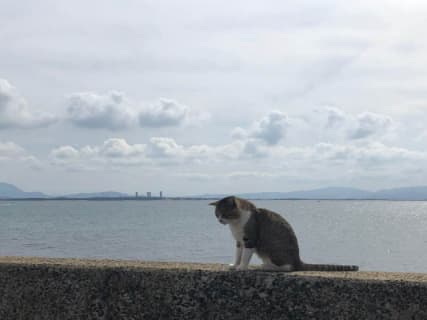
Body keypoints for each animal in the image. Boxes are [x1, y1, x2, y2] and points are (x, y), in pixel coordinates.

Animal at [212, 196, 360, 272]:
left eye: (224, 213)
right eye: (217, 214)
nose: (220, 220)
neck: (236, 224)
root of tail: (297, 259)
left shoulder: (250, 239)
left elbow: (245, 256)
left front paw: (242, 267)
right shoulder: (239, 241)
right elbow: (238, 254)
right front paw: (235, 265)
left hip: (273, 248)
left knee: (288, 267)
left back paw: (269, 267)